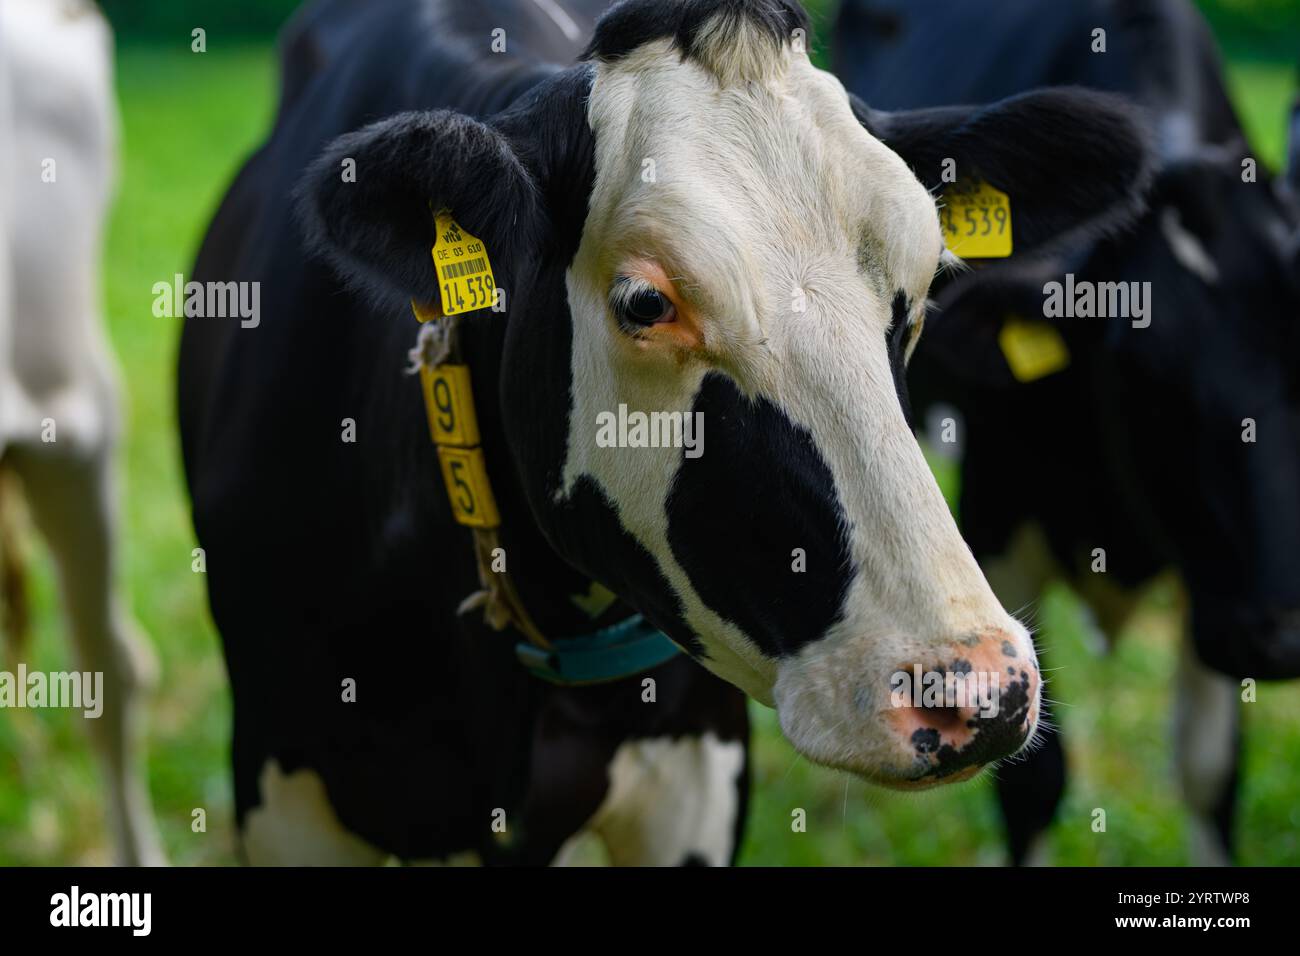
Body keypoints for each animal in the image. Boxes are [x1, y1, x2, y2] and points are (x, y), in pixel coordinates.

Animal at [835, 0, 1300, 865]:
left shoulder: (1215, 577)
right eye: (1143, 372)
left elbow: (1212, 771)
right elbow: (1033, 779)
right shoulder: (993, 516)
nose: (1283, 637)